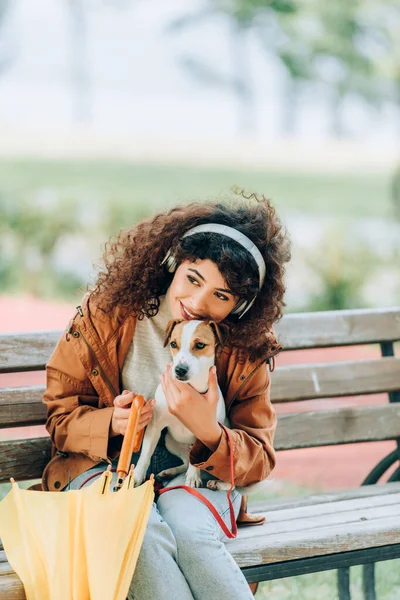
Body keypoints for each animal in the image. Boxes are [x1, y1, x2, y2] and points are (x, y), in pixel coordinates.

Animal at [134, 316, 268, 494]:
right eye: (173, 344)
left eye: (199, 345)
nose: (179, 370)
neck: (190, 387)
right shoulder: (155, 425)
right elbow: (146, 453)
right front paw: (136, 476)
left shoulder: (203, 431)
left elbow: (195, 459)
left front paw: (193, 477)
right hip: (170, 440)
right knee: (185, 461)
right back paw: (171, 471)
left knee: (231, 481)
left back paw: (218, 483)